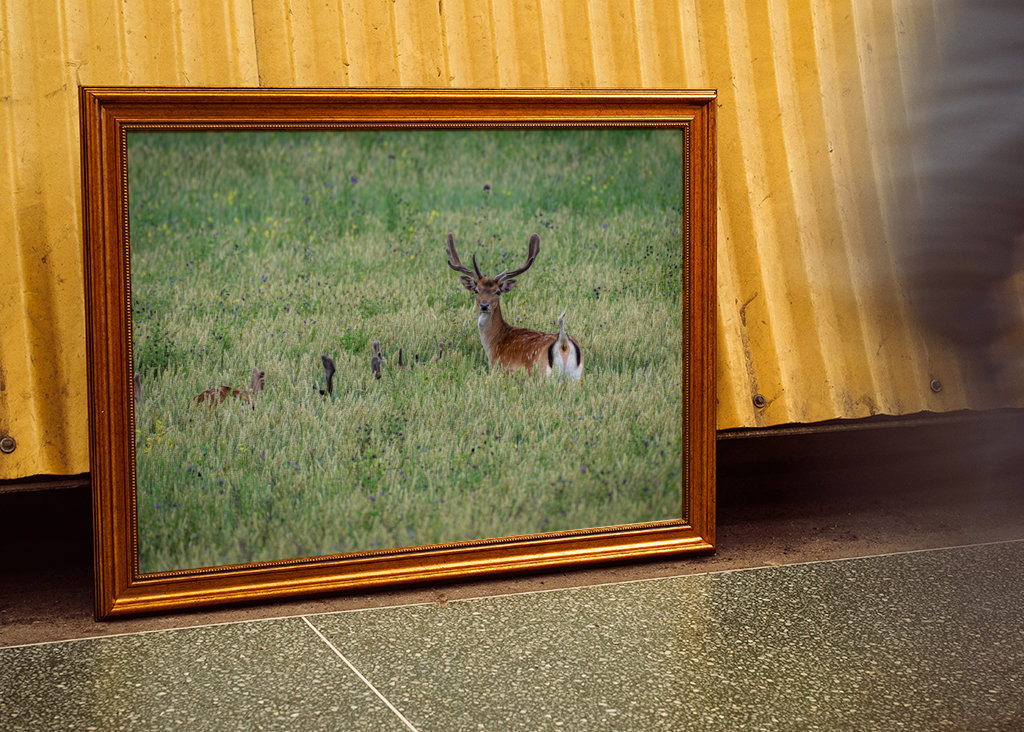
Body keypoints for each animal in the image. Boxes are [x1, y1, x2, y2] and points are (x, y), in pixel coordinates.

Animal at [446, 233, 583, 380]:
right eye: (476, 290)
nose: (484, 305)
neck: (494, 341)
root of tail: (563, 343)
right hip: (578, 376)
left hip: (541, 374)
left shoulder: (497, 367)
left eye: (497, 291)